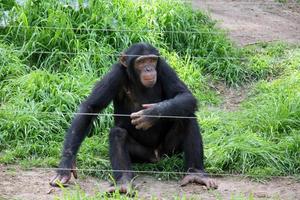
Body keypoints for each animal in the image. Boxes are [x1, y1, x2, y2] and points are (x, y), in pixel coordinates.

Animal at [49, 43, 218, 193]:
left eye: (152, 60)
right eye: (141, 62)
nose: (149, 68)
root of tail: (157, 156)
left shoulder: (164, 67)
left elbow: (185, 95)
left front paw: (150, 114)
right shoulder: (115, 74)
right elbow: (91, 108)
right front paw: (65, 166)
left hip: (169, 151)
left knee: (187, 116)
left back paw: (196, 174)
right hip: (143, 155)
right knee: (118, 133)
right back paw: (123, 183)